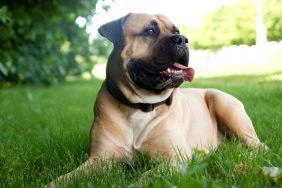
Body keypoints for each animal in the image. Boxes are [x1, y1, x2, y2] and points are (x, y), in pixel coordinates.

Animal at [51, 13, 266, 185]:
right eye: (150, 30)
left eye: (176, 30)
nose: (183, 39)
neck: (140, 105)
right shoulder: (99, 159)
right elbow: (64, 178)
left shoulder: (174, 159)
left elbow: (145, 178)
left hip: (222, 101)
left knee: (258, 145)